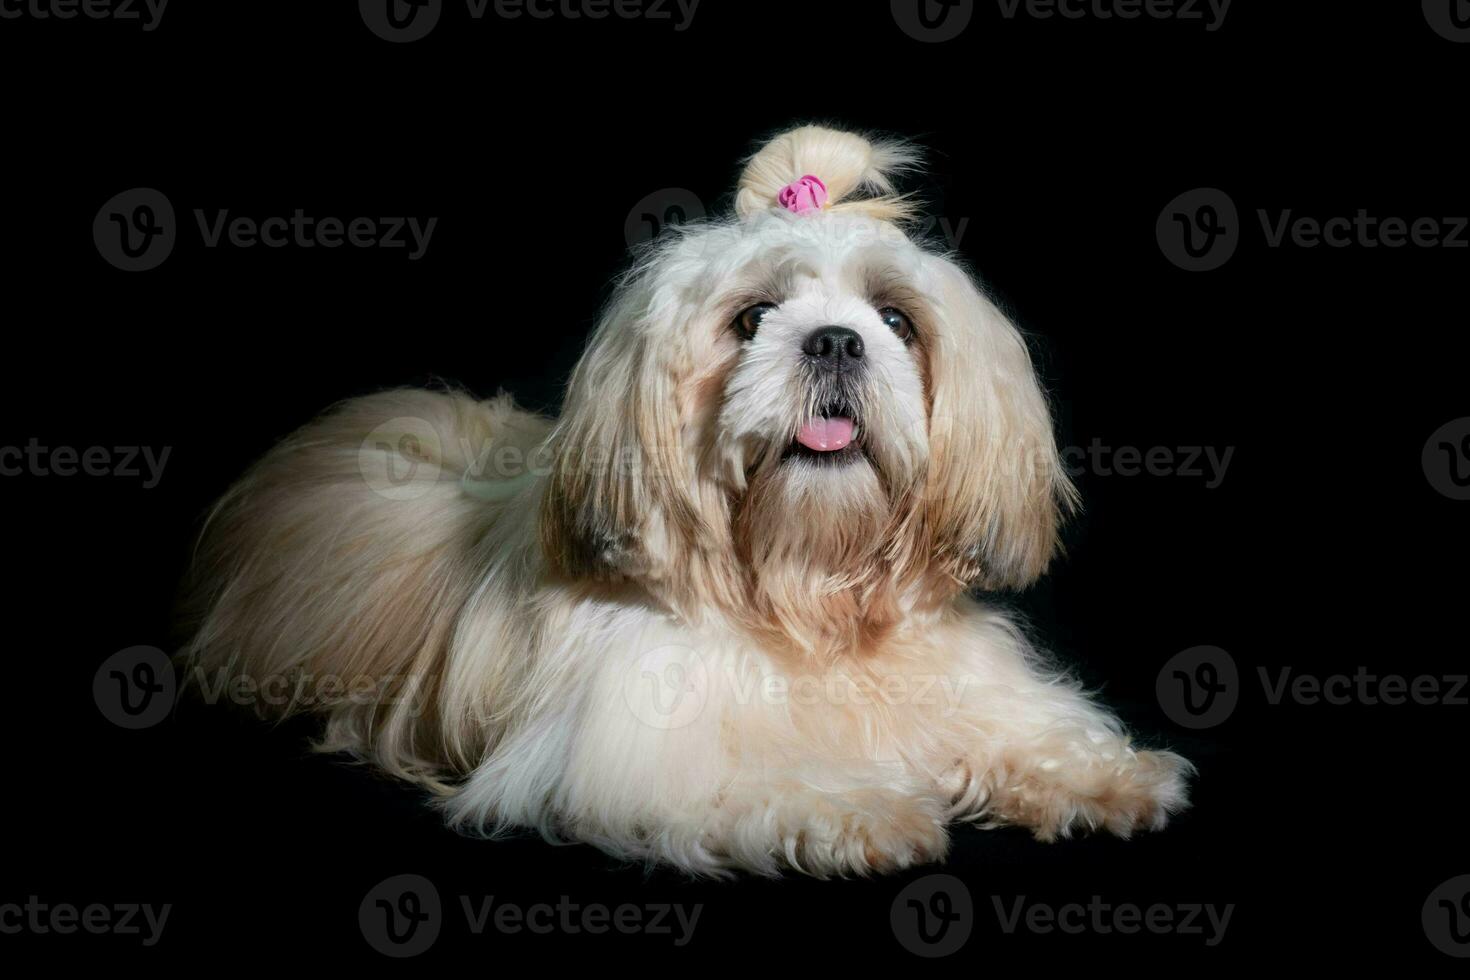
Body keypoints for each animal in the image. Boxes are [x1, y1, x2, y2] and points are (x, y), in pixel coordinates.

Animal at [183, 126, 1193, 875]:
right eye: (752, 319)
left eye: (895, 321)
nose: (835, 341)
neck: (803, 593)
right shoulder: (639, 753)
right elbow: (760, 776)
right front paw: (862, 807)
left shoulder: (966, 682)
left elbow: (1027, 730)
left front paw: (1111, 780)